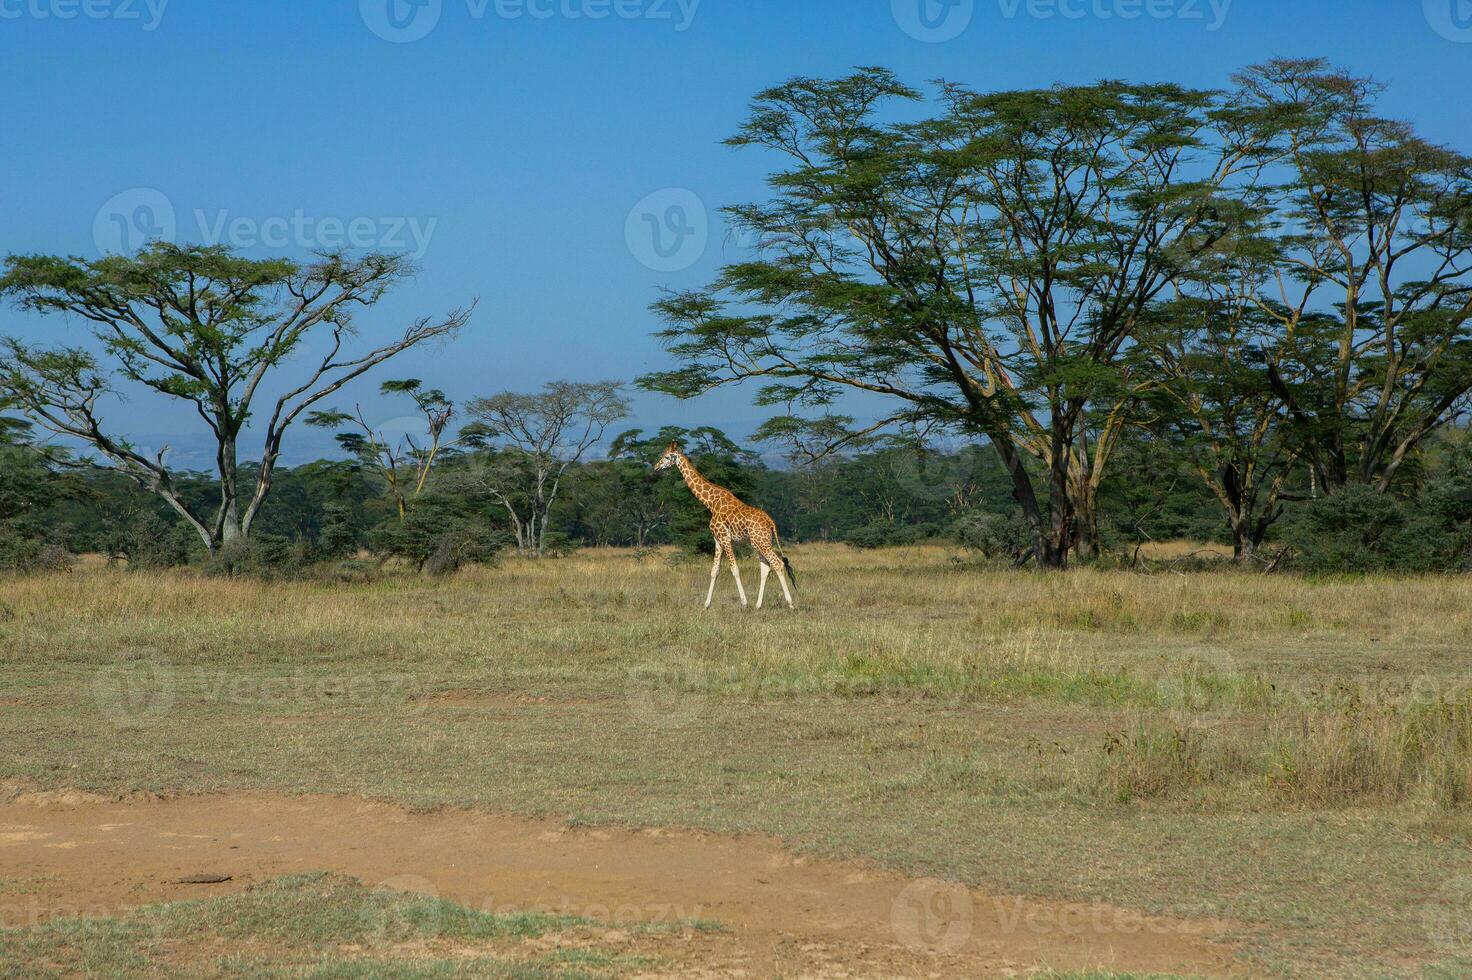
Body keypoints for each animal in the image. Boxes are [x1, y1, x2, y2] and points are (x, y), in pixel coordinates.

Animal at [653, 441, 794, 606]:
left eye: (666, 456)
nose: (656, 467)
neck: (711, 503)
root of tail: (771, 523)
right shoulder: (717, 540)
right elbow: (714, 571)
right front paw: (706, 604)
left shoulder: (725, 538)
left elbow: (735, 569)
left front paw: (744, 602)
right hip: (761, 542)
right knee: (766, 567)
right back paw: (758, 605)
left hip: (761, 542)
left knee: (778, 564)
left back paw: (790, 603)